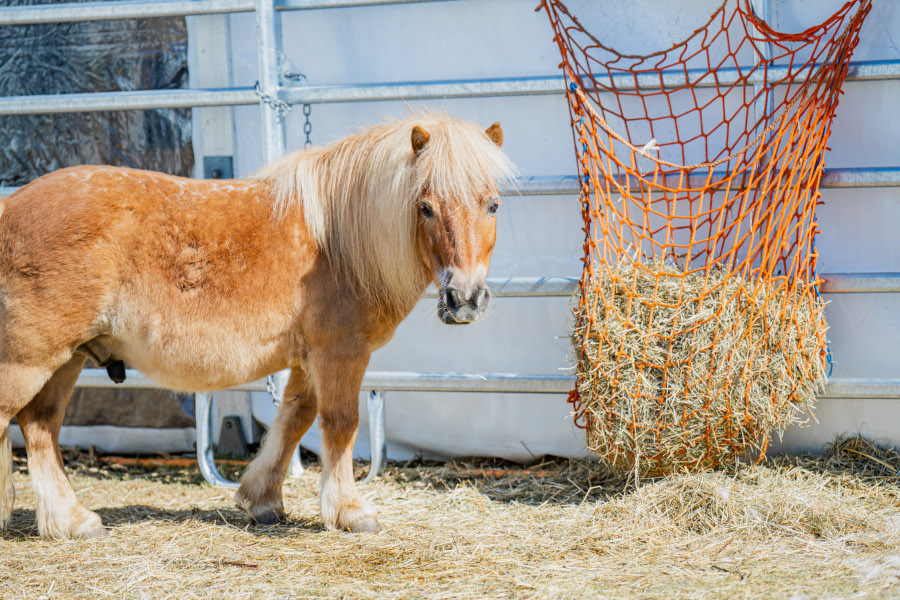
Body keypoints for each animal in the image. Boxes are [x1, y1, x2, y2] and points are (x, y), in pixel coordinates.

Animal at [0, 114, 514, 539]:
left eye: (492, 205)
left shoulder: (309, 358)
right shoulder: (340, 352)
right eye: (426, 206)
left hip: (66, 359)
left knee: (39, 426)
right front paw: (350, 511)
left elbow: (295, 417)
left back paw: (64, 519)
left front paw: (261, 500)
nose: (466, 299)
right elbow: (340, 423)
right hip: (32, 358)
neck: (339, 244)